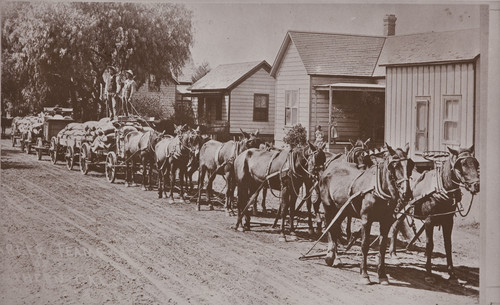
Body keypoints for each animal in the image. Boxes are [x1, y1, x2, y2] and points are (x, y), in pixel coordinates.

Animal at [320, 144, 414, 284]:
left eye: (411, 165)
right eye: (395, 165)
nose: (406, 193)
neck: (377, 189)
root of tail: (328, 169)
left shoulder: (385, 222)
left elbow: (382, 247)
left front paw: (382, 275)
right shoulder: (366, 220)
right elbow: (364, 246)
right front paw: (364, 274)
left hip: (342, 210)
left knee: (335, 228)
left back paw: (335, 257)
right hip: (328, 207)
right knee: (330, 228)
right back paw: (331, 256)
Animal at [388, 145, 478, 282]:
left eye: (475, 163)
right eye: (461, 164)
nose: (476, 186)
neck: (441, 188)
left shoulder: (448, 221)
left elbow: (448, 245)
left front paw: (451, 273)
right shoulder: (429, 221)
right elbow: (429, 245)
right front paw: (428, 273)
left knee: (396, 226)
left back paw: (393, 251)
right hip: (399, 208)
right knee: (394, 226)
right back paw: (392, 252)